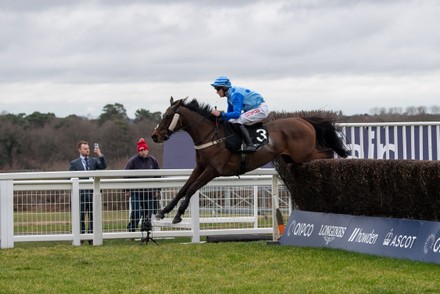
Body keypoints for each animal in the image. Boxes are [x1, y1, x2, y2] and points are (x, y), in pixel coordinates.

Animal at [151, 96, 348, 223]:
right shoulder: (200, 167)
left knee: (328, 153)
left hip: (304, 153)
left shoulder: (213, 170)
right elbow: (183, 188)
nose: (154, 136)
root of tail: (303, 120)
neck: (210, 136)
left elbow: (192, 189)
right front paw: (163, 212)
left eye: (167, 116)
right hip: (291, 158)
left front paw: (178, 215)